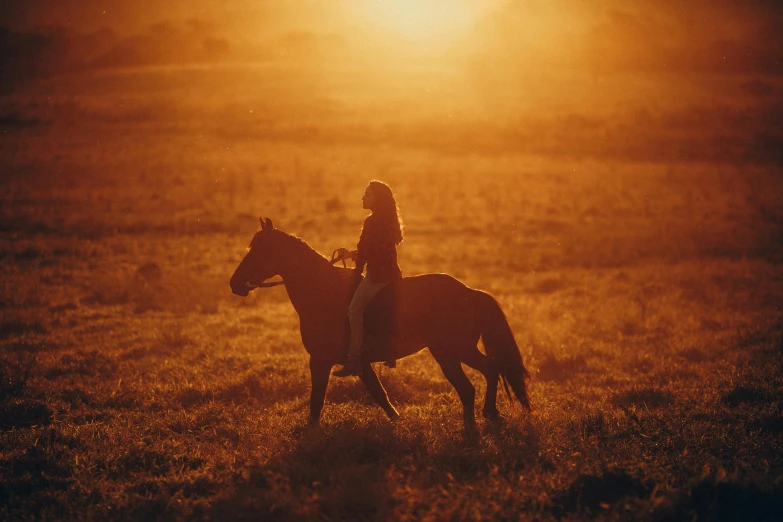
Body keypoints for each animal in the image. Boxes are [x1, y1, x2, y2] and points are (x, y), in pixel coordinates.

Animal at [228, 217, 532, 424]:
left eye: (259, 250)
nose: (235, 283)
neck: (323, 292)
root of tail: (470, 292)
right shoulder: (360, 364)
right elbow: (379, 394)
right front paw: (397, 420)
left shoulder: (320, 361)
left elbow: (317, 401)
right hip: (459, 351)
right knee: (490, 371)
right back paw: (490, 414)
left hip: (451, 352)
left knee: (471, 386)